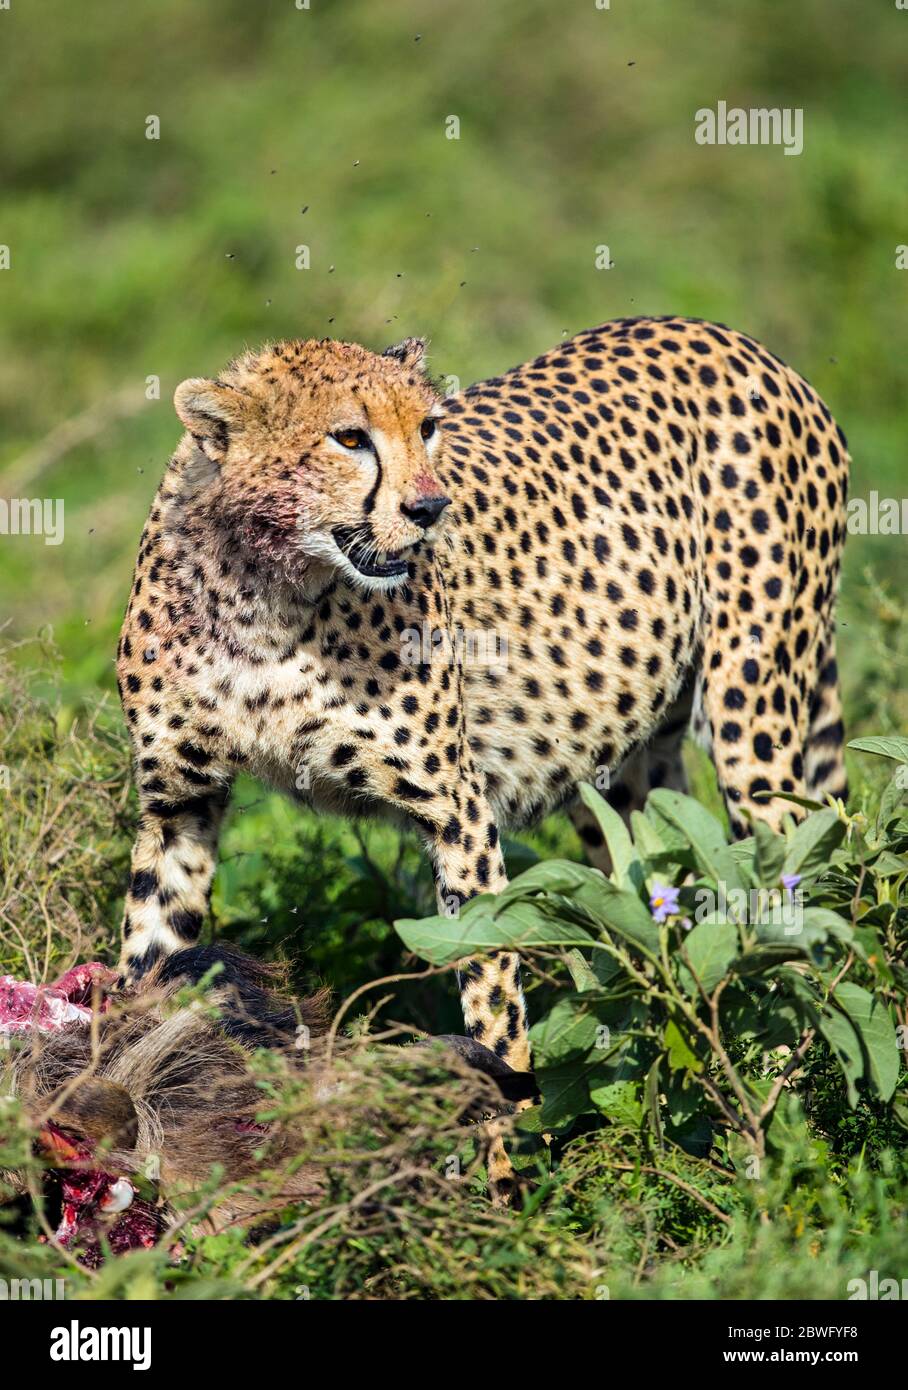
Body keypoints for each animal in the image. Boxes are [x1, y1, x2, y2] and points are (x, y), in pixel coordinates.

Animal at [115, 319, 850, 1078]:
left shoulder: (457, 811)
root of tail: (719, 333)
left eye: (428, 426)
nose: (429, 508)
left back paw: (780, 1072)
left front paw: (503, 1103)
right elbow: (148, 950)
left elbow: (492, 995)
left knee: (790, 892)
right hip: (610, 765)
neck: (266, 595)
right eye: (349, 437)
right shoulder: (179, 805)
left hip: (752, 714)